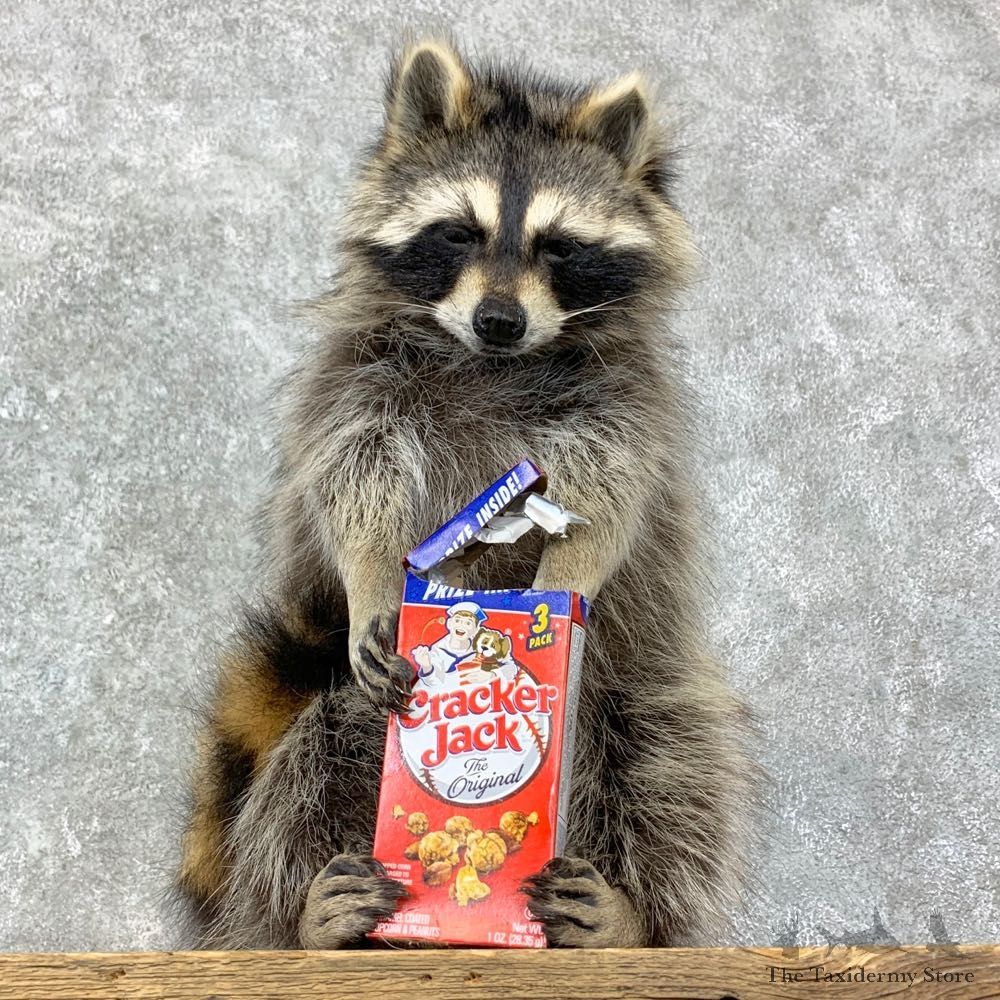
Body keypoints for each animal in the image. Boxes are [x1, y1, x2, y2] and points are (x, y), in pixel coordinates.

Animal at [175, 38, 764, 949]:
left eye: (558, 247)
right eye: (459, 232)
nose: (499, 320)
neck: (493, 363)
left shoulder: (627, 401)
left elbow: (613, 493)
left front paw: (568, 573)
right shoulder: (356, 379)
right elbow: (354, 477)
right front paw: (373, 572)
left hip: (642, 681)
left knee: (672, 765)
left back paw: (632, 917)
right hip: (350, 708)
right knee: (318, 755)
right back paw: (308, 916)